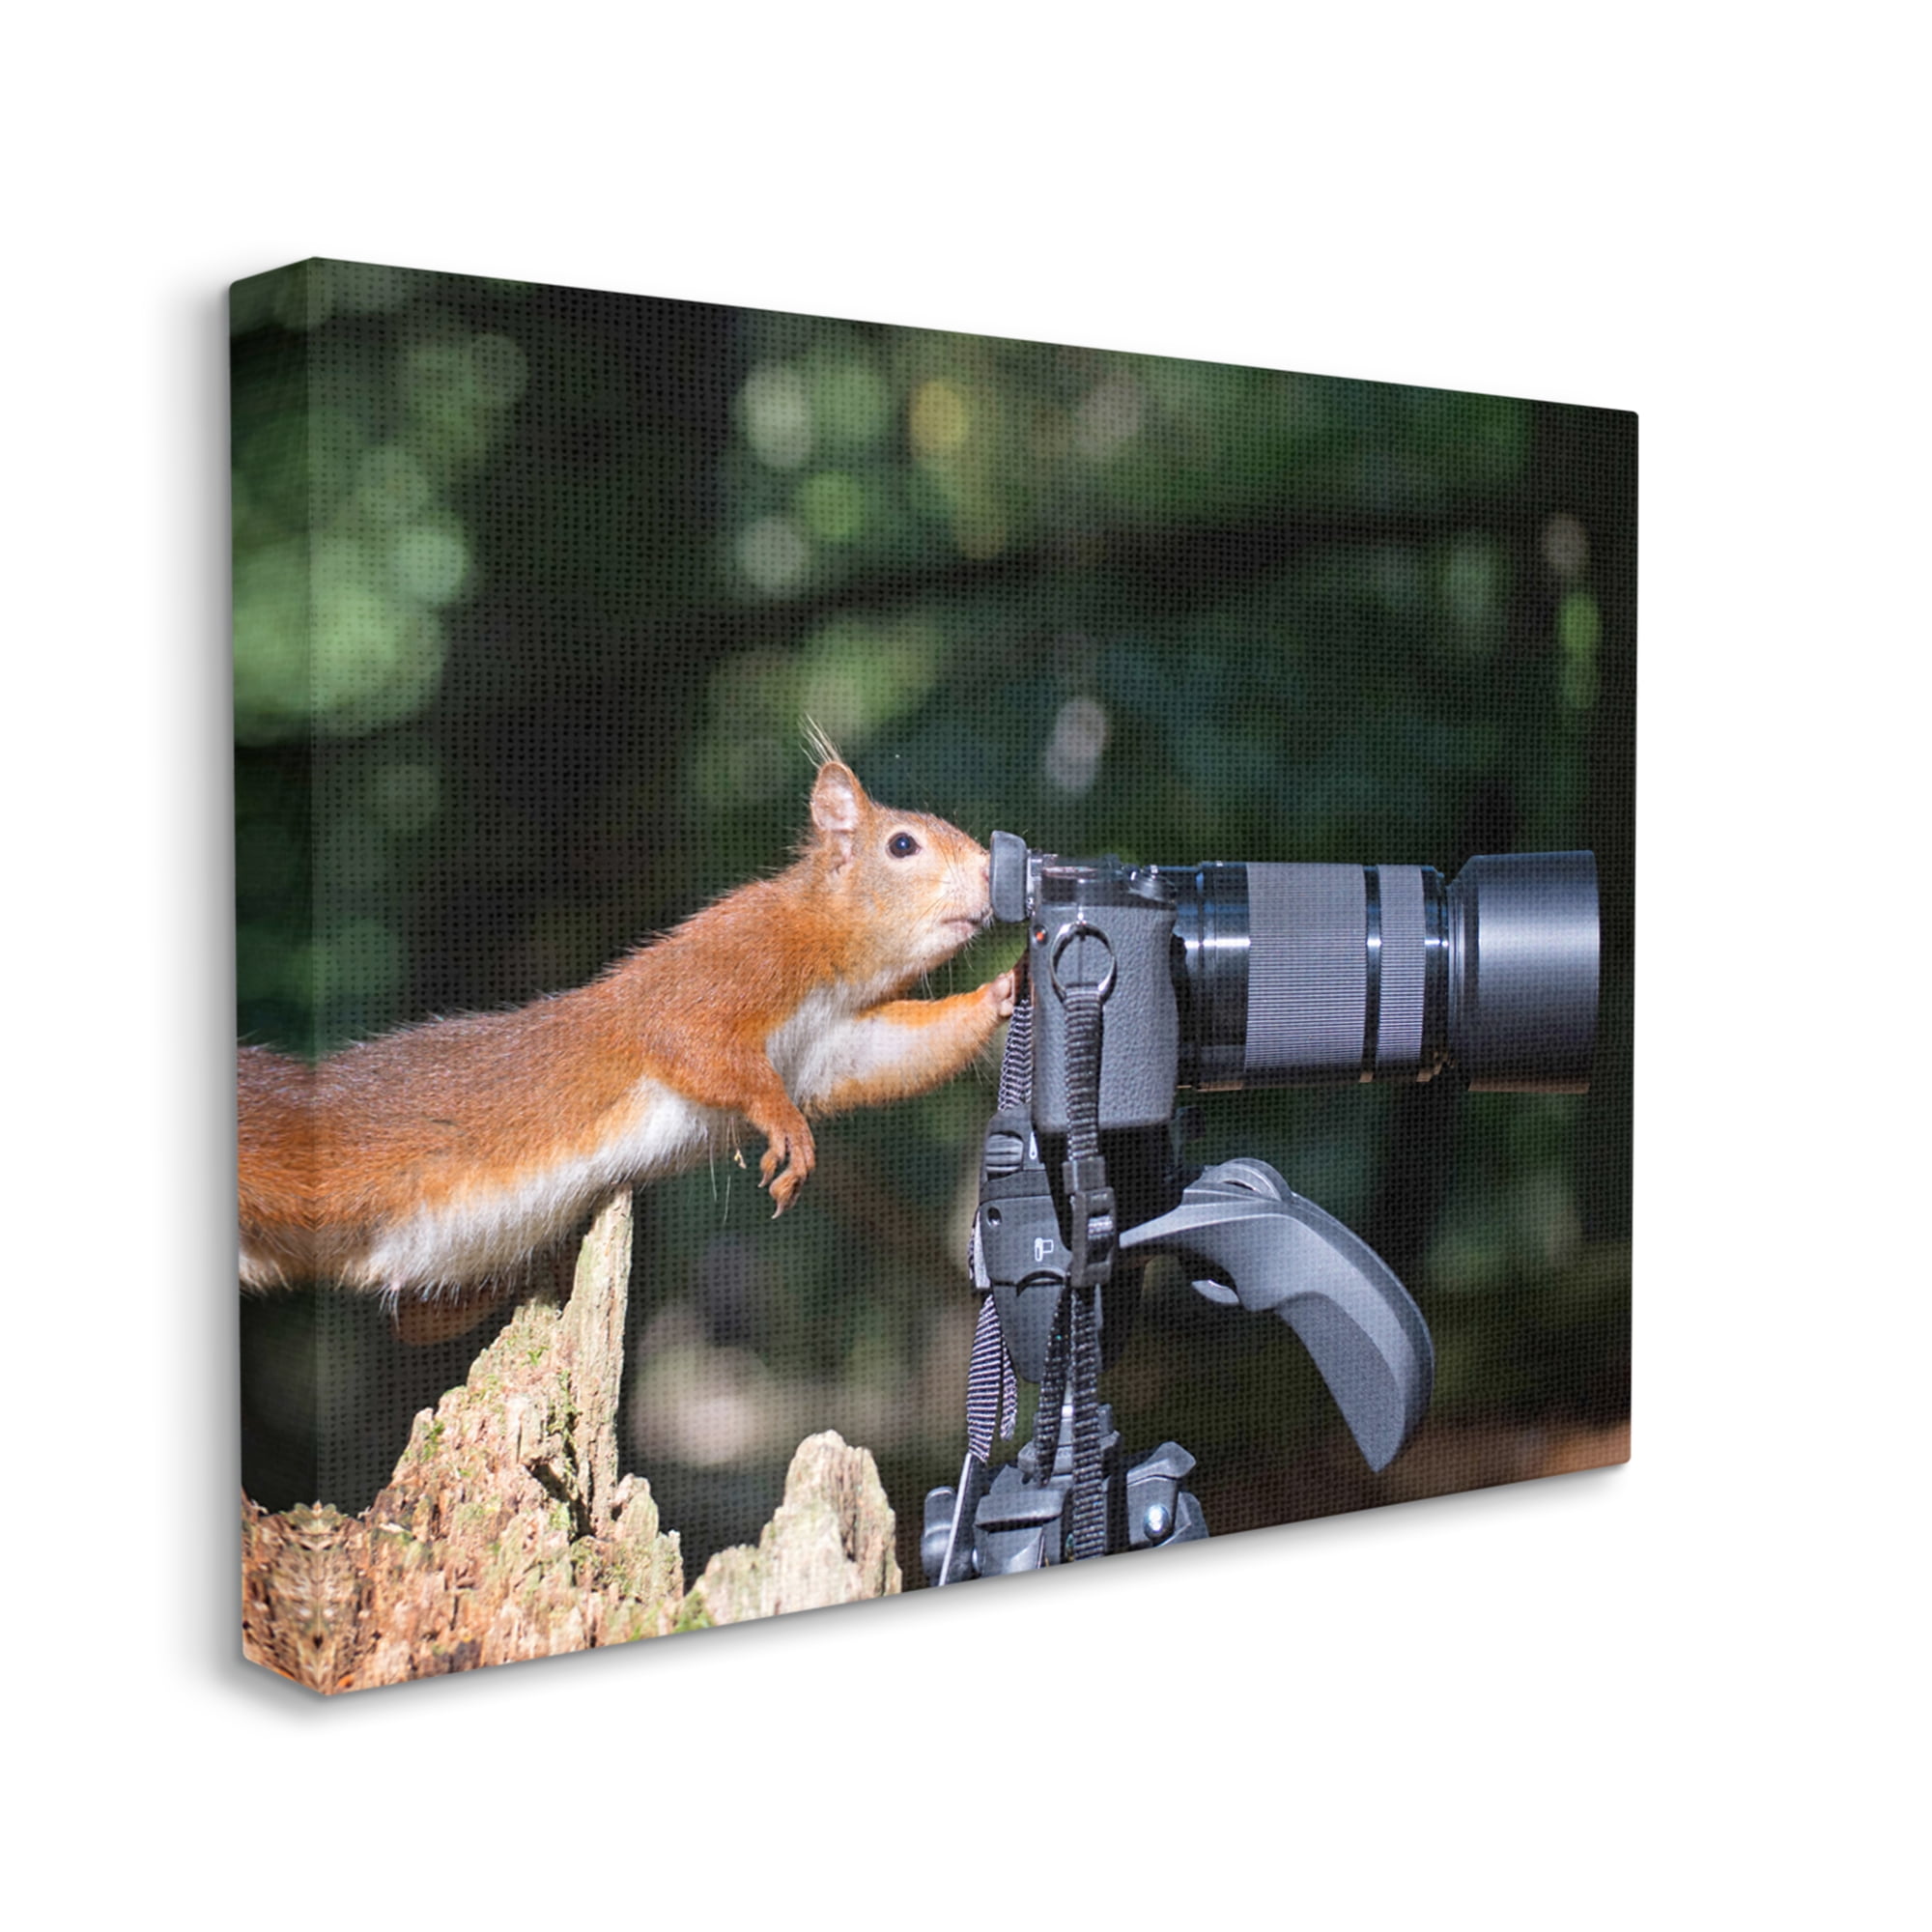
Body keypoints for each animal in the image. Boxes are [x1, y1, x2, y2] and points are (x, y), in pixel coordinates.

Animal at [237, 748, 1018, 1342]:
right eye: (902, 845)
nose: (993, 873)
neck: (829, 951)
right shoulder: (728, 963)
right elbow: (690, 1043)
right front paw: (785, 1127)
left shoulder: (834, 1044)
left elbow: (893, 1054)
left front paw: (1007, 988)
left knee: (418, 1321)